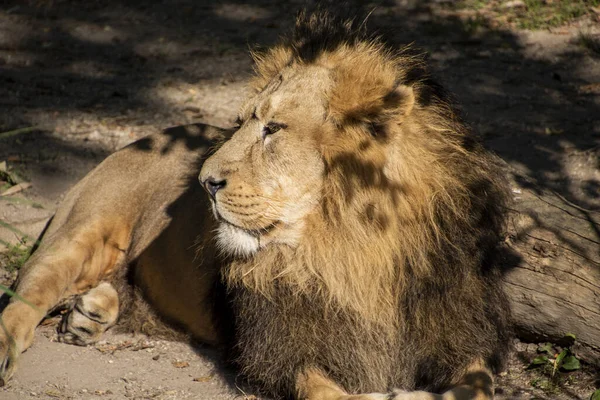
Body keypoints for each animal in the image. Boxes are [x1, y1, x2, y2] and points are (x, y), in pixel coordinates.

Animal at [1, 10, 510, 400]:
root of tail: (151, 135)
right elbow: (335, 394)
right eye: (242, 123)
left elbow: (478, 384)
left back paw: (90, 313)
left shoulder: (457, 330)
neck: (355, 248)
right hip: (80, 231)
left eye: (274, 129)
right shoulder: (283, 351)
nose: (204, 181)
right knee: (26, 296)